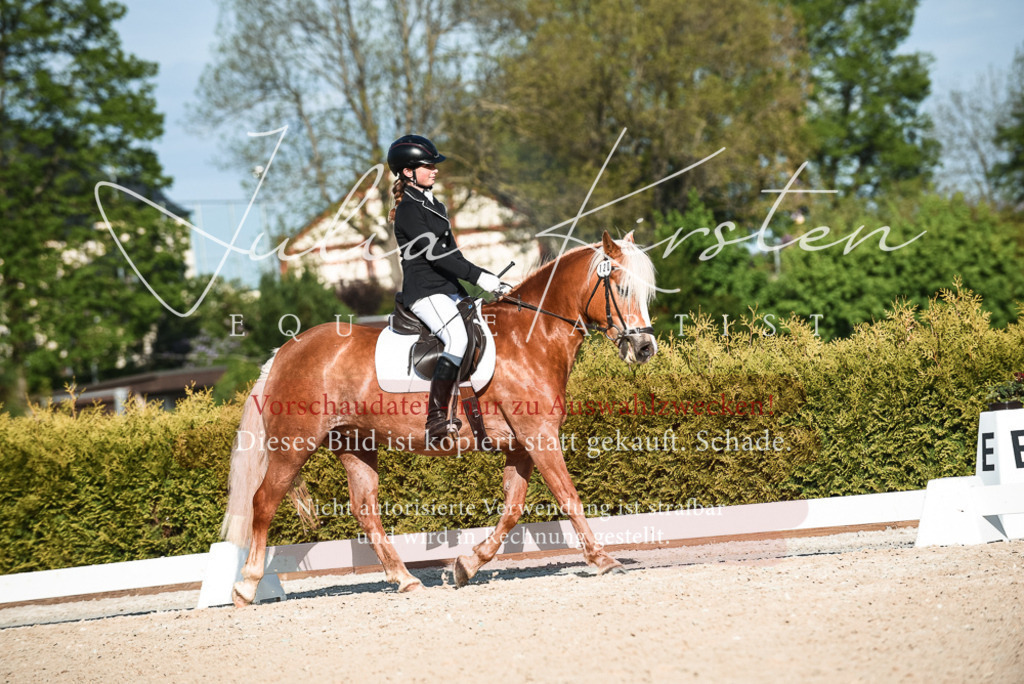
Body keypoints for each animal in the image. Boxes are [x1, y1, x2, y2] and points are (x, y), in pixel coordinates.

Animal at [223, 231, 658, 606]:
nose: (645, 348)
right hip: (293, 445)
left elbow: (513, 508)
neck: (530, 338)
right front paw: (603, 560)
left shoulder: (521, 444)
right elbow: (569, 497)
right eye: (622, 289)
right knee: (263, 502)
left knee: (364, 509)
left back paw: (404, 578)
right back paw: (246, 586)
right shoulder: (540, 436)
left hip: (354, 443)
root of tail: (284, 352)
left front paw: (468, 565)